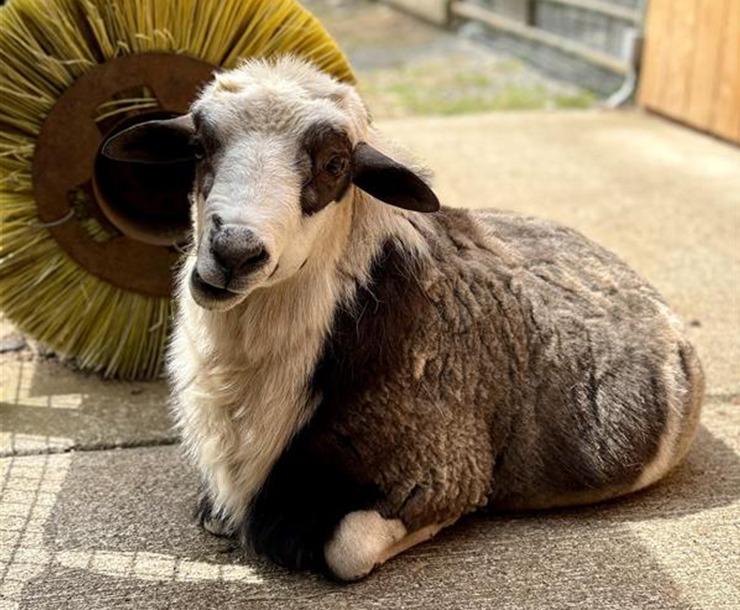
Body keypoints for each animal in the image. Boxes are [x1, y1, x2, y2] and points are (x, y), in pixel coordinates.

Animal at [102, 56, 704, 581]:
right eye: (199, 146)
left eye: (336, 165)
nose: (233, 253)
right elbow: (215, 516)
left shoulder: (445, 465)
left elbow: (347, 548)